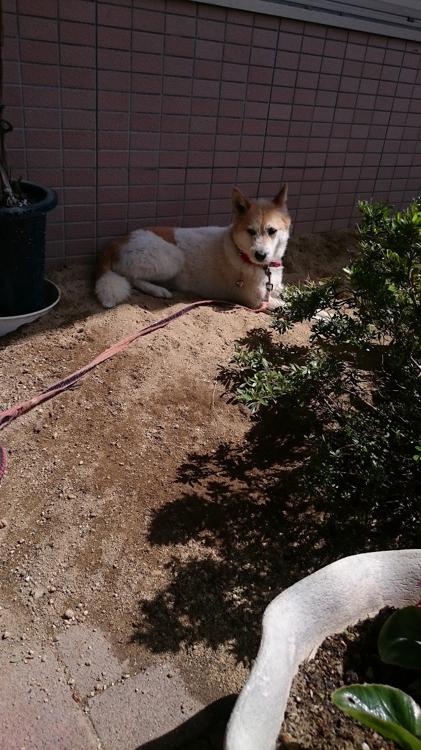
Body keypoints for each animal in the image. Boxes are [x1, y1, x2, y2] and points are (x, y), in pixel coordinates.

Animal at [94, 185, 288, 312]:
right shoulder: (255, 299)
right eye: (251, 231)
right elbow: (284, 305)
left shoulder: (273, 287)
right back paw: (158, 290)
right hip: (173, 259)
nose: (260, 255)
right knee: (131, 278)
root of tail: (117, 241)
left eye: (272, 231)